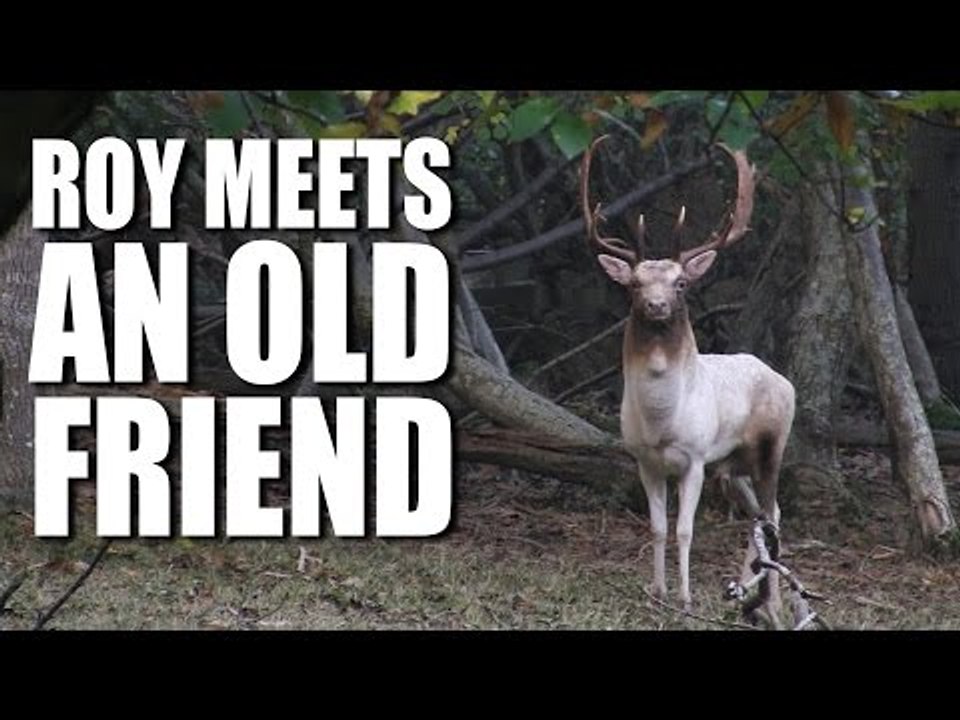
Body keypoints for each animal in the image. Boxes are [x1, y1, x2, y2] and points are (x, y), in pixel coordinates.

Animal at [580, 137, 795, 626]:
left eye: (680, 283)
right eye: (635, 284)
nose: (657, 305)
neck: (662, 421)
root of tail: (783, 380)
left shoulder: (695, 458)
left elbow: (684, 530)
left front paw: (685, 599)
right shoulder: (644, 458)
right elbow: (659, 527)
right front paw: (657, 591)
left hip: (770, 444)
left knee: (773, 511)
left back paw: (771, 604)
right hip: (732, 464)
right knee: (759, 515)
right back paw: (746, 593)